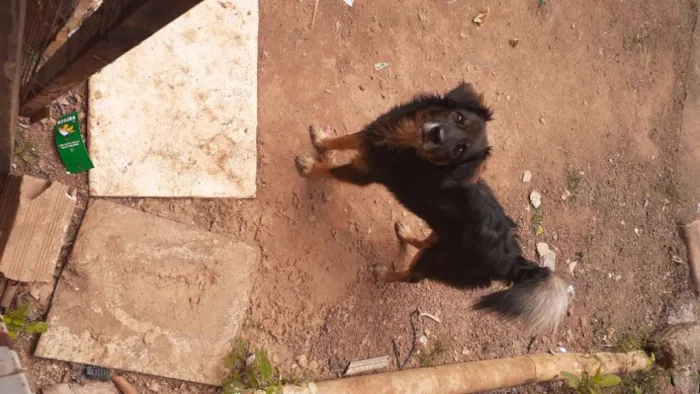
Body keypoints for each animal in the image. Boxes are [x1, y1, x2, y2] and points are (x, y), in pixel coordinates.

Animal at [296, 82, 568, 332]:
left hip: (437, 261)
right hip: (440, 240)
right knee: (424, 242)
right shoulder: (370, 137)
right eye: (458, 117)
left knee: (411, 277)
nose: (438, 135)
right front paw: (320, 139)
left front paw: (310, 166)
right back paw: (405, 233)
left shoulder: (363, 172)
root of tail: (513, 260)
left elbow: (330, 169)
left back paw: (383, 273)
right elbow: (342, 140)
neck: (405, 143)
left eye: (460, 150)